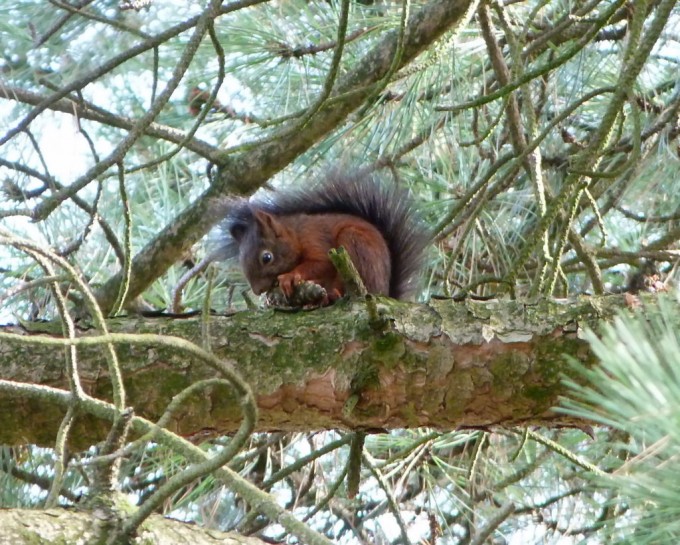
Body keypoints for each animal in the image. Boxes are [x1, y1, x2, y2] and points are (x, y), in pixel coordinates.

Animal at [216, 171, 430, 305]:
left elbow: (322, 263)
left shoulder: (316, 239)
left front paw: (290, 276)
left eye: (266, 257)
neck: (296, 234)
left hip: (355, 246)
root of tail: (385, 293)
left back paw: (331, 295)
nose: (258, 290)